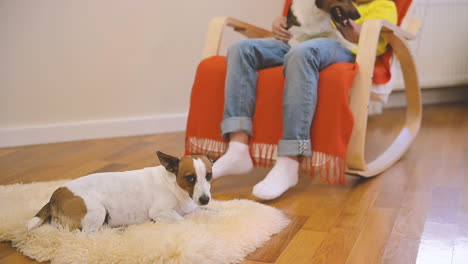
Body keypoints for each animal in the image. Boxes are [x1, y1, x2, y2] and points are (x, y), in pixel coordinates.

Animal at [26, 152, 213, 232]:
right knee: (88, 235)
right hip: (98, 211)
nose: (205, 199)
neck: (173, 185)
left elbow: (209, 210)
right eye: (190, 178)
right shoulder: (160, 212)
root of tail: (55, 195)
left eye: (209, 175)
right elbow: (182, 220)